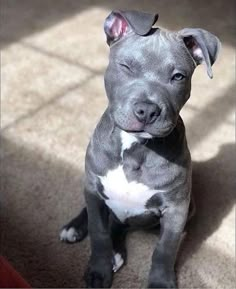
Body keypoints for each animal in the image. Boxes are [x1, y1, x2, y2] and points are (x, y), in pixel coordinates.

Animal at [60, 10, 220, 286]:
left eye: (178, 77)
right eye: (126, 67)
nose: (147, 110)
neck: (135, 148)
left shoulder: (176, 210)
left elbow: (165, 249)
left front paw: (160, 282)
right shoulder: (94, 188)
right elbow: (98, 233)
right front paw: (98, 270)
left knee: (120, 225)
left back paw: (116, 253)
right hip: (92, 188)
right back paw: (76, 228)